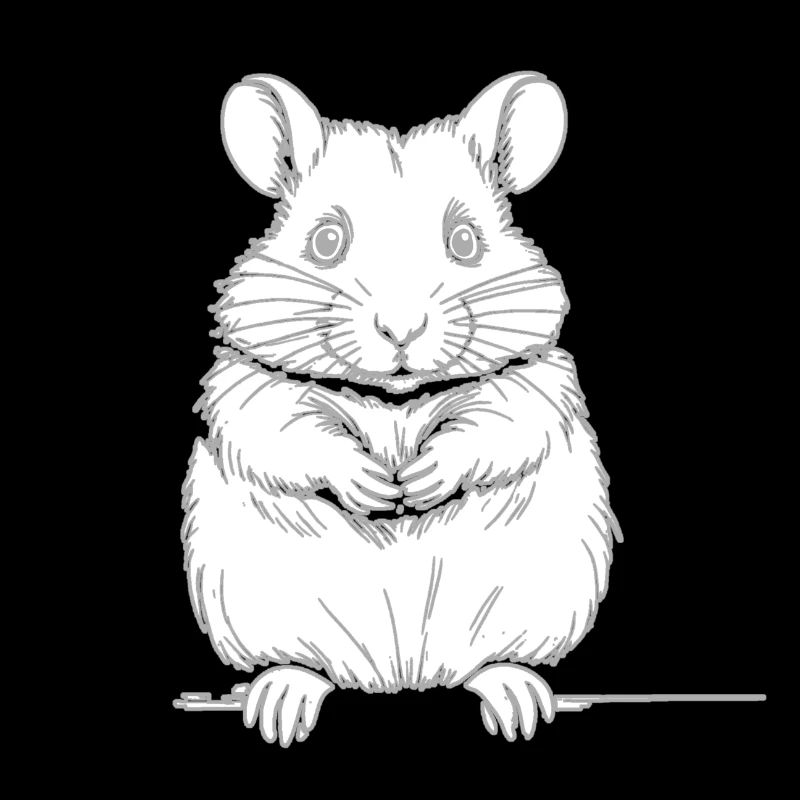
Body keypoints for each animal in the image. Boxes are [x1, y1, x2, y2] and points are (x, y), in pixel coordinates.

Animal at [181, 72, 622, 746]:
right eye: (326, 242)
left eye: (465, 242)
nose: (401, 331)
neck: (396, 398)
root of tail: (401, 678)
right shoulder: (248, 391)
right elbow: (297, 431)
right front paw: (378, 488)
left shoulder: (538, 386)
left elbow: (490, 424)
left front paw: (415, 483)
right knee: (304, 664)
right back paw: (282, 702)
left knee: (490, 663)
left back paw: (517, 702)